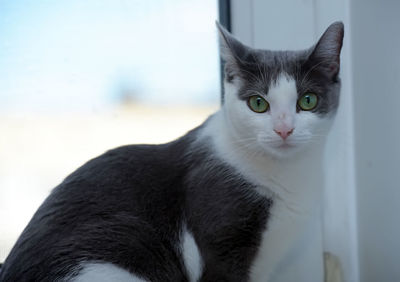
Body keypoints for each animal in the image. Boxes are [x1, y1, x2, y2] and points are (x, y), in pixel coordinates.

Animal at [0, 20, 344, 280]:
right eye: (258, 103)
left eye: (307, 100)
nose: (284, 129)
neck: (287, 173)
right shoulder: (220, 242)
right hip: (119, 245)